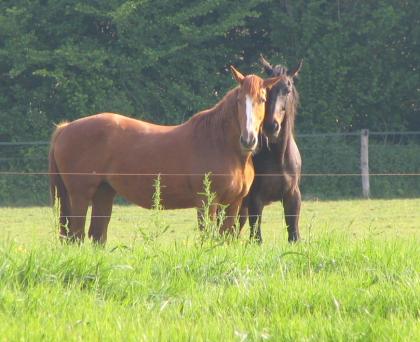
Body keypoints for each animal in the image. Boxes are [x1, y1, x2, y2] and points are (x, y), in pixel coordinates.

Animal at [50, 67, 284, 243]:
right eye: (239, 101)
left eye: (262, 99)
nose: (248, 139)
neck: (220, 144)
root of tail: (65, 128)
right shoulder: (207, 203)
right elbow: (207, 236)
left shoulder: (233, 204)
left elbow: (224, 237)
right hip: (79, 195)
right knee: (75, 236)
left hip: (104, 192)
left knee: (97, 235)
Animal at [240, 56, 302, 243]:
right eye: (266, 92)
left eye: (287, 89)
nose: (271, 126)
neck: (278, 158)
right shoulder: (255, 201)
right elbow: (256, 238)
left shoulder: (292, 197)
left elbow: (294, 236)